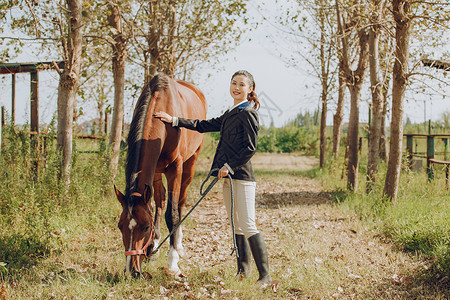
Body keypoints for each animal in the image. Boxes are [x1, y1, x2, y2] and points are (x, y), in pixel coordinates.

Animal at [116, 74, 207, 276]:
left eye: (145, 227)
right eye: (120, 226)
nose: (131, 271)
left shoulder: (175, 168)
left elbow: (171, 213)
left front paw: (173, 262)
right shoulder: (154, 170)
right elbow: (155, 204)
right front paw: (153, 246)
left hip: (190, 164)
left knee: (180, 202)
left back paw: (178, 244)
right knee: (160, 200)